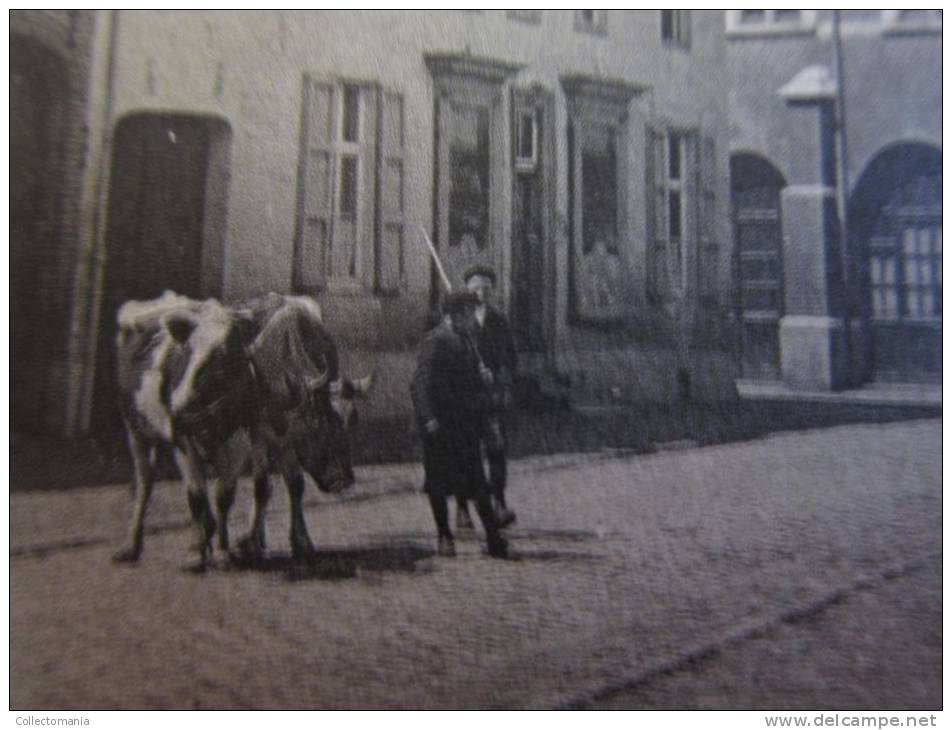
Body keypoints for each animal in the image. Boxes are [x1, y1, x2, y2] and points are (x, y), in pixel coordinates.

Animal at [113, 290, 370, 568]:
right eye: (318, 422)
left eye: (352, 420)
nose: (342, 480)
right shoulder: (193, 437)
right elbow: (200, 494)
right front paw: (204, 550)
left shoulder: (265, 434)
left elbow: (279, 486)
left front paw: (293, 543)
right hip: (135, 428)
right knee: (145, 483)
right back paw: (131, 546)